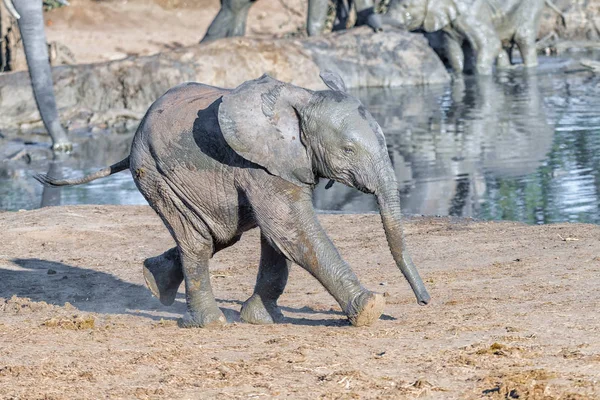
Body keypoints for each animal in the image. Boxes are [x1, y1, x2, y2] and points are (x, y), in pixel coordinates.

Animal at [37, 71, 428, 328]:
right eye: (348, 149)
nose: (424, 301)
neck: (301, 99)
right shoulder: (258, 163)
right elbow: (290, 228)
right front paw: (370, 309)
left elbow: (277, 236)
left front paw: (261, 318)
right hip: (157, 173)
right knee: (197, 239)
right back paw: (209, 324)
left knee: (219, 235)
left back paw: (154, 282)